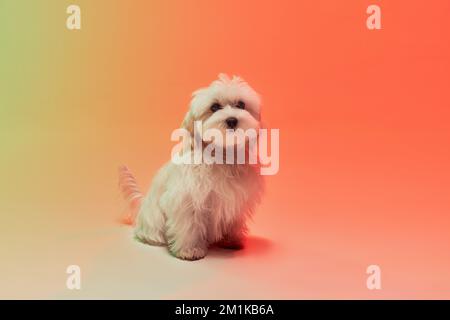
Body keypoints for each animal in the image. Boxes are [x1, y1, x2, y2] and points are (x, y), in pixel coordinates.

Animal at [121, 74, 266, 260]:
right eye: (214, 107)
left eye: (241, 104)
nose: (232, 120)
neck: (222, 154)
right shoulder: (187, 198)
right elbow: (189, 224)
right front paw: (190, 250)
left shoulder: (237, 198)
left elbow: (233, 220)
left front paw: (231, 240)